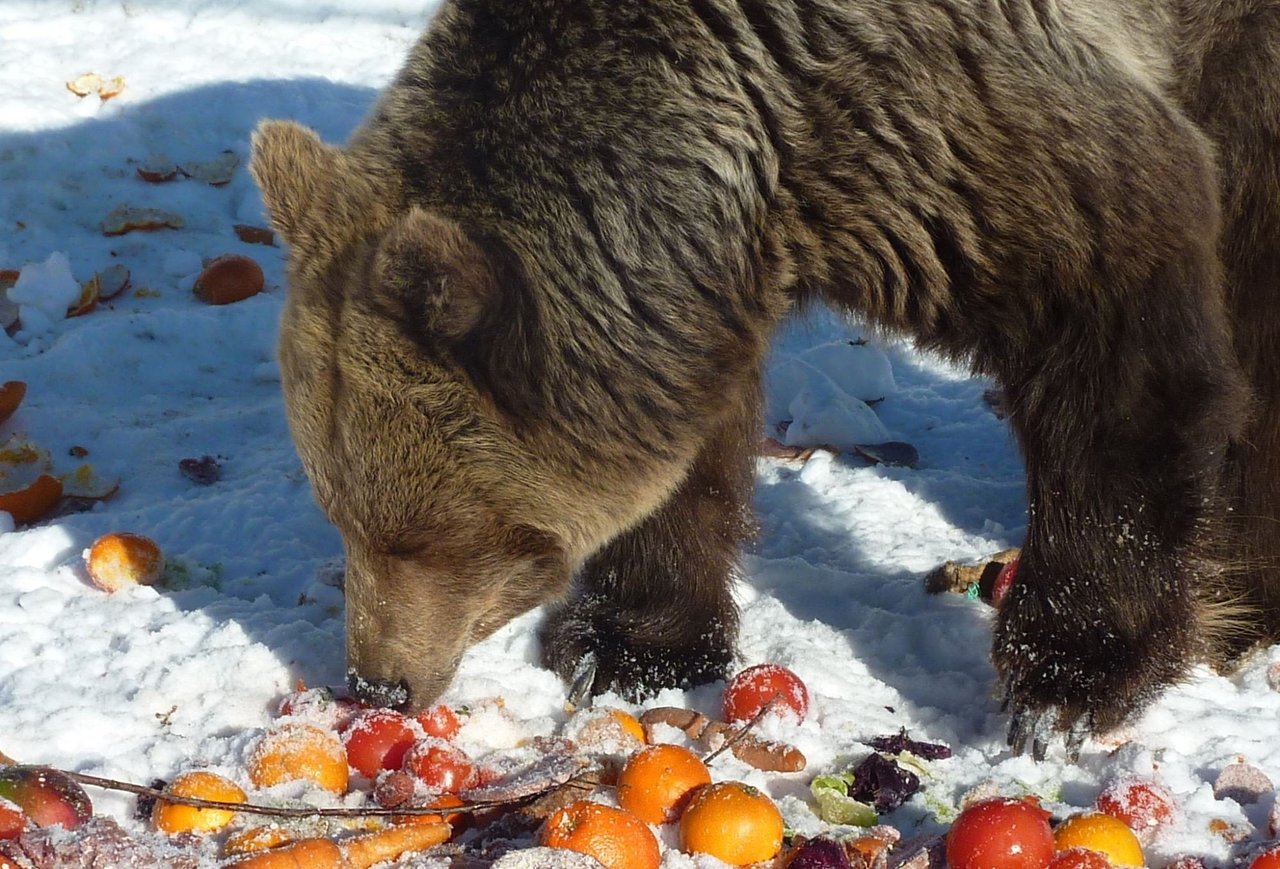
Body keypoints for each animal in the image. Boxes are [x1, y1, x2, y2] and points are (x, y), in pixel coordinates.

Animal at [249, 0, 1280, 752]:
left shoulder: (980, 134)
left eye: (427, 533)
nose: (377, 680)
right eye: (340, 511)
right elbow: (685, 454)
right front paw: (627, 644)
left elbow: (1119, 371)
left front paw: (1065, 684)